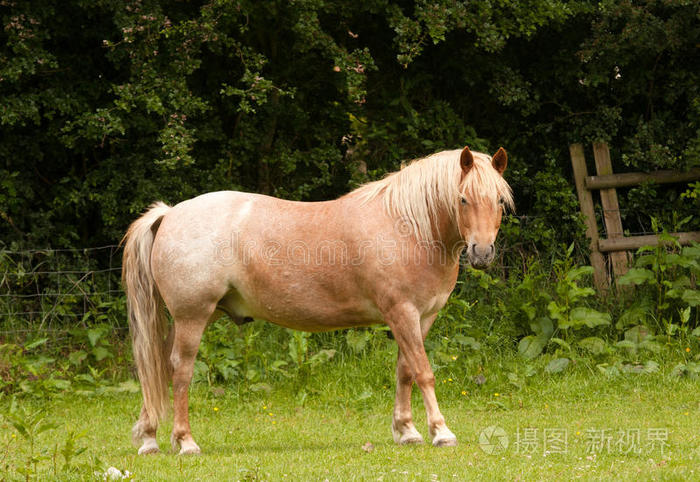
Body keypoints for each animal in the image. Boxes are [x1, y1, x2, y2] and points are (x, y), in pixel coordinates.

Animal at [122, 146, 513, 455]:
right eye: (463, 199)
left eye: (498, 201)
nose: (482, 253)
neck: (408, 227)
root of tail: (170, 213)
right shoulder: (402, 313)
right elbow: (424, 373)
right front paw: (441, 432)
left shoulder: (420, 318)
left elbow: (405, 371)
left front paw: (407, 431)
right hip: (193, 316)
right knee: (180, 370)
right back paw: (185, 441)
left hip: (190, 318)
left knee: (158, 366)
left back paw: (150, 438)